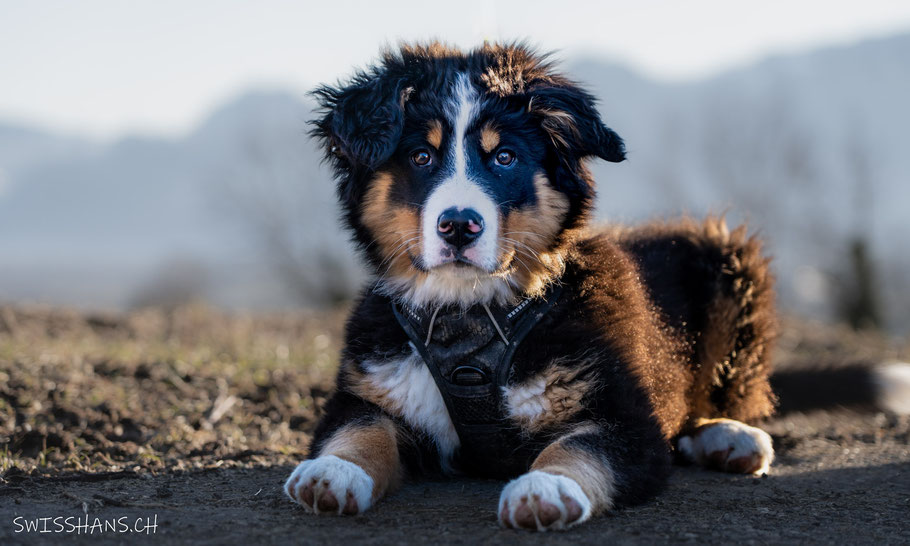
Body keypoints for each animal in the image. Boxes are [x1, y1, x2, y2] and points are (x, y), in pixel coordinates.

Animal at [284, 42, 776, 528]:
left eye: (504, 157)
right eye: (421, 157)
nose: (458, 226)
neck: (470, 318)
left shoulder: (625, 418)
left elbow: (577, 447)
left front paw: (546, 488)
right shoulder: (368, 393)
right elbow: (361, 430)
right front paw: (333, 471)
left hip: (727, 260)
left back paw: (731, 438)